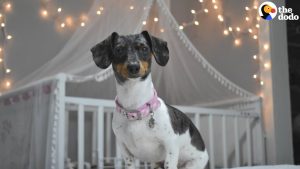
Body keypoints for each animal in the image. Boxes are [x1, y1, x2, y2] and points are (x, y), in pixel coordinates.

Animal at [91, 31, 209, 168]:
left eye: (144, 48)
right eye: (119, 50)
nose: (133, 67)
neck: (136, 109)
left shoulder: (171, 146)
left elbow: (169, 162)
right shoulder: (125, 150)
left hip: (193, 163)